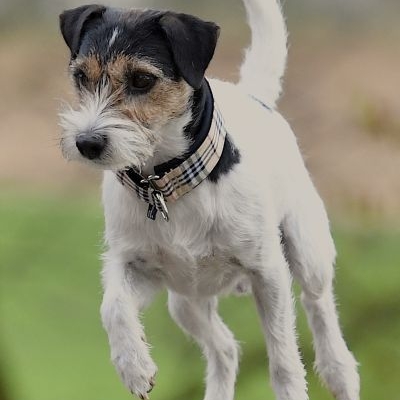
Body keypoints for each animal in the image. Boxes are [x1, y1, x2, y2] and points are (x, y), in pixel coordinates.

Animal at [57, 1, 360, 398]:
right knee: (225, 349)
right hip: (186, 300)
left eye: (142, 80)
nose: (87, 143)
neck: (167, 186)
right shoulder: (134, 265)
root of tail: (254, 96)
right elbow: (112, 306)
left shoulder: (268, 273)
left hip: (309, 253)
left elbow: (283, 359)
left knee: (320, 307)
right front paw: (133, 365)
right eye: (80, 76)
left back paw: (338, 371)